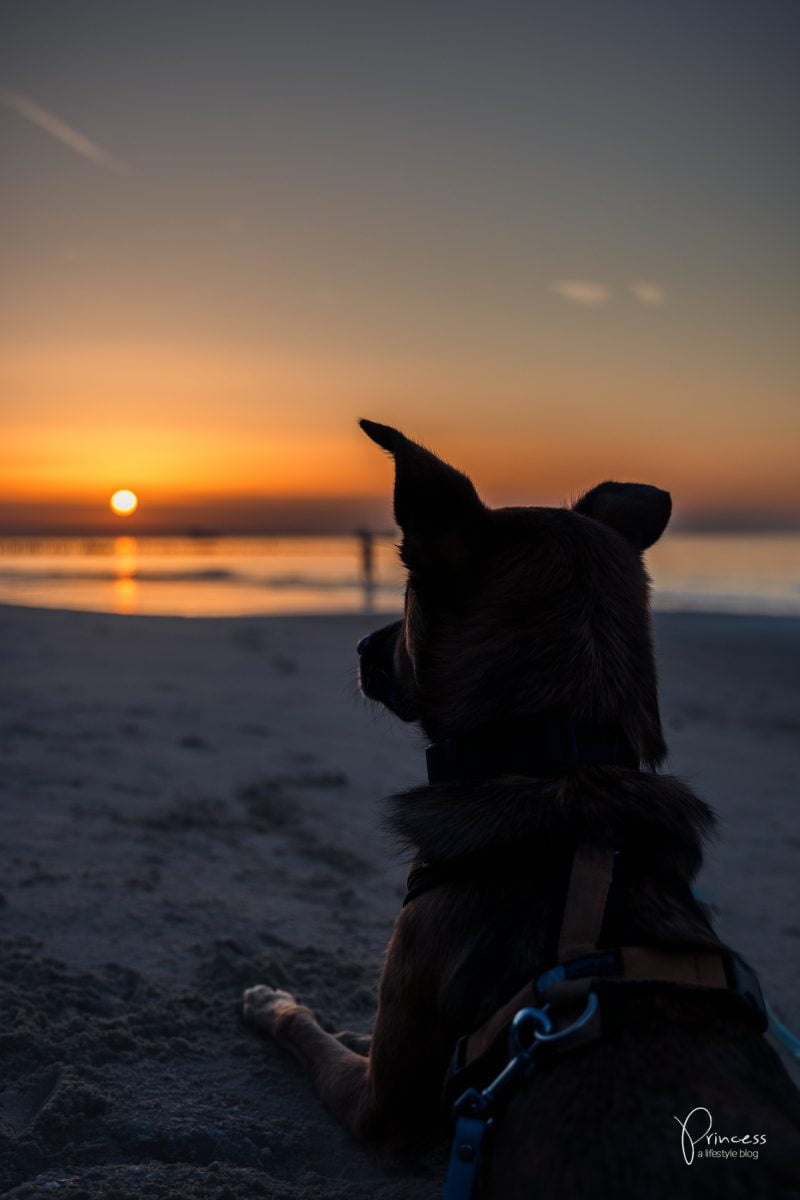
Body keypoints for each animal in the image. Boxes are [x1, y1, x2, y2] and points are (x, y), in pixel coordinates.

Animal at [244, 422, 800, 1200]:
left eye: (409, 593)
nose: (359, 645)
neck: (558, 754)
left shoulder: (381, 1109)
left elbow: (309, 1031)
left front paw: (274, 1003)